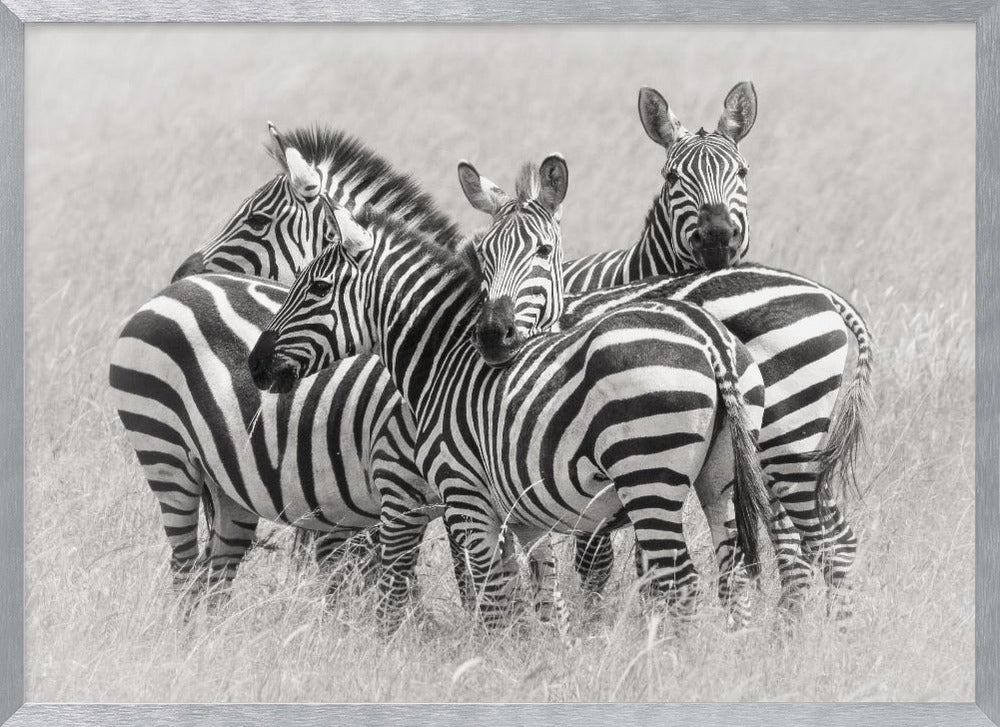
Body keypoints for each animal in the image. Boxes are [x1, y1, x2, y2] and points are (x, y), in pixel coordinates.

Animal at [247, 190, 772, 630]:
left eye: (317, 288)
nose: (254, 365)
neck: (444, 360)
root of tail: (709, 339)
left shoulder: (466, 498)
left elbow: (493, 598)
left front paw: (492, 662)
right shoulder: (522, 513)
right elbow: (539, 597)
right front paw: (542, 662)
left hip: (649, 477)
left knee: (680, 582)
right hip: (719, 481)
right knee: (732, 576)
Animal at [457, 97, 873, 613]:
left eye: (542, 252)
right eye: (481, 258)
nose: (494, 335)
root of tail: (824, 293)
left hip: (785, 441)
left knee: (815, 541)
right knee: (820, 540)